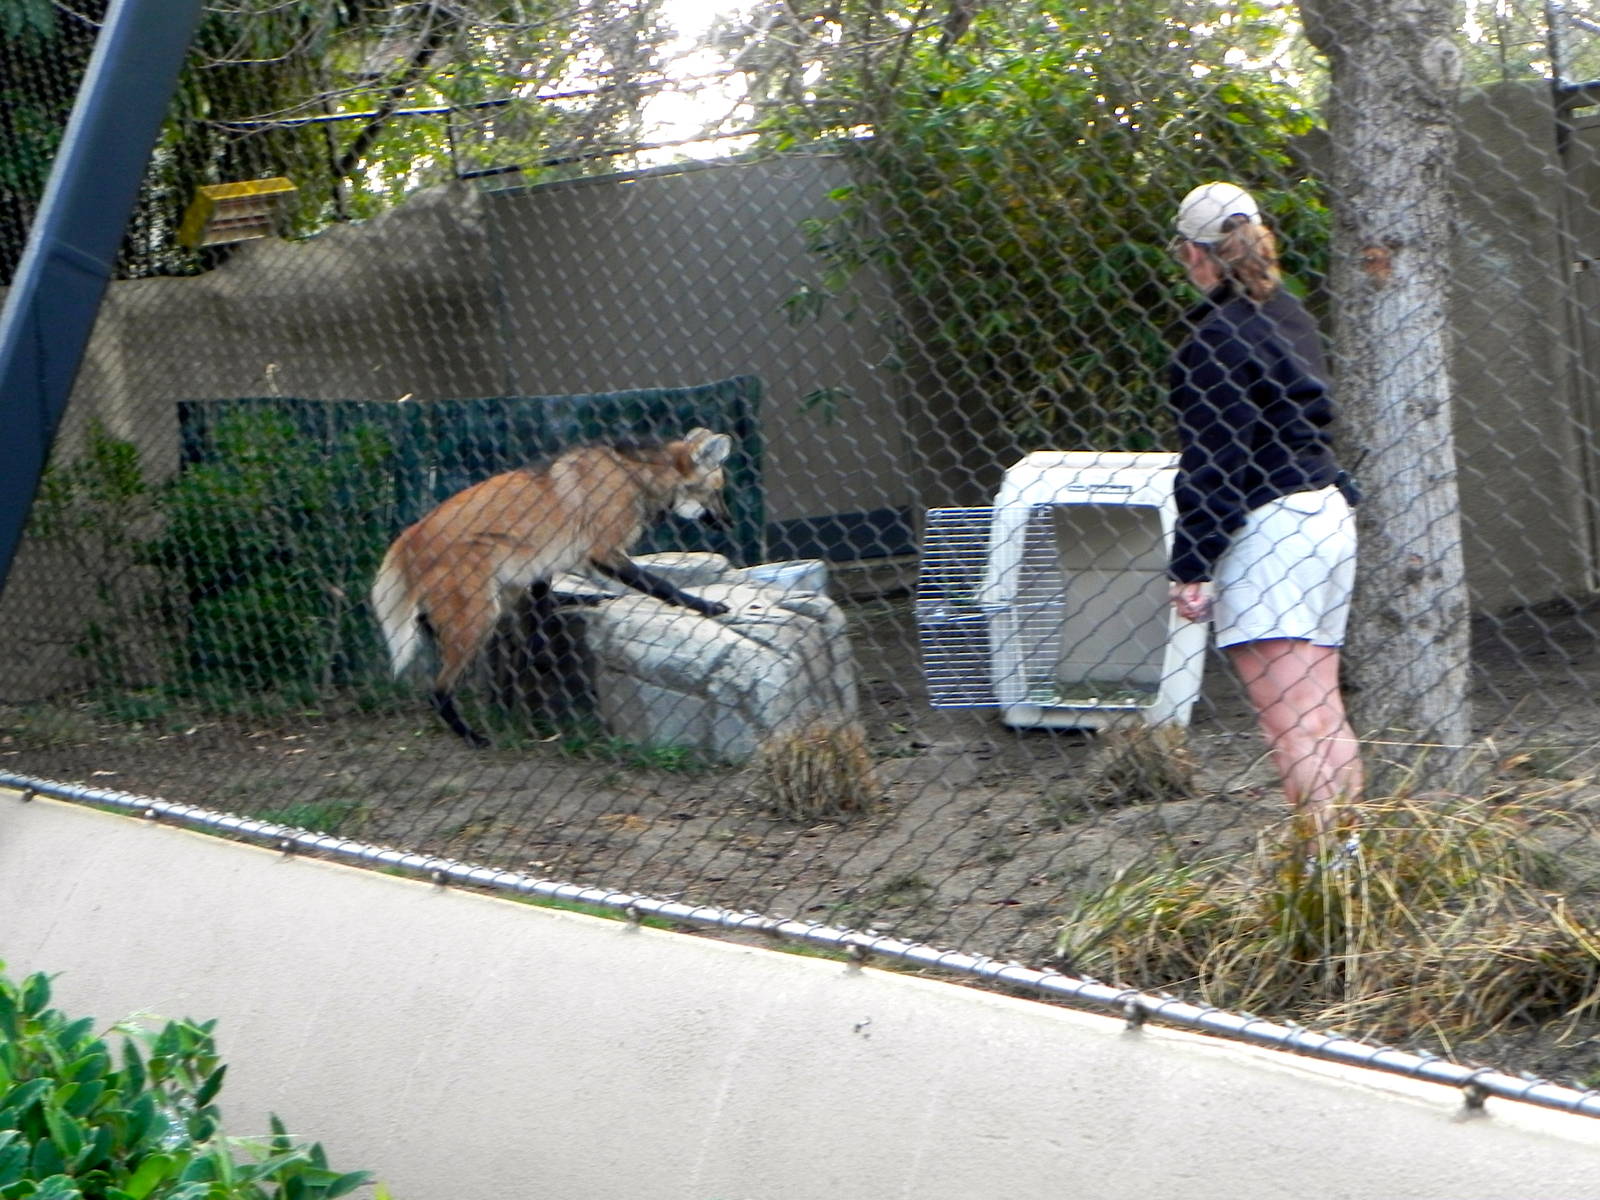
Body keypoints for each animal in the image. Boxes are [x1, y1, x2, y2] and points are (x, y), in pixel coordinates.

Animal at [371, 428, 733, 746]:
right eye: (717, 492)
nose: (729, 523)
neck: (637, 477)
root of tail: (409, 536)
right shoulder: (603, 552)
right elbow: (661, 585)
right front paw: (707, 606)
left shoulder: (550, 561)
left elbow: (541, 613)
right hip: (479, 614)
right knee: (438, 689)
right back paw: (472, 737)